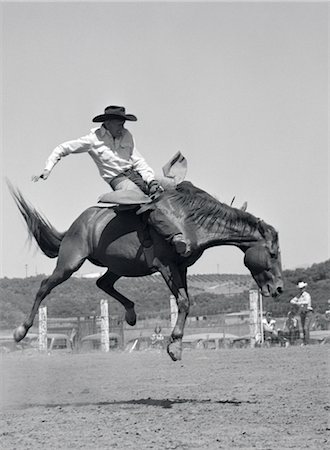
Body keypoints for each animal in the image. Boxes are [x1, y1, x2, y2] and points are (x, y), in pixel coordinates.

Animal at [9, 179, 284, 358]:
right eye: (272, 253)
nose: (279, 288)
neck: (188, 219)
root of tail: (76, 224)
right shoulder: (166, 266)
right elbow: (183, 301)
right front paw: (174, 346)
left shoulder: (181, 267)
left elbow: (185, 302)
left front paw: (175, 344)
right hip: (70, 262)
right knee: (44, 286)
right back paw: (21, 330)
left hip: (119, 265)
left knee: (103, 283)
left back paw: (131, 313)